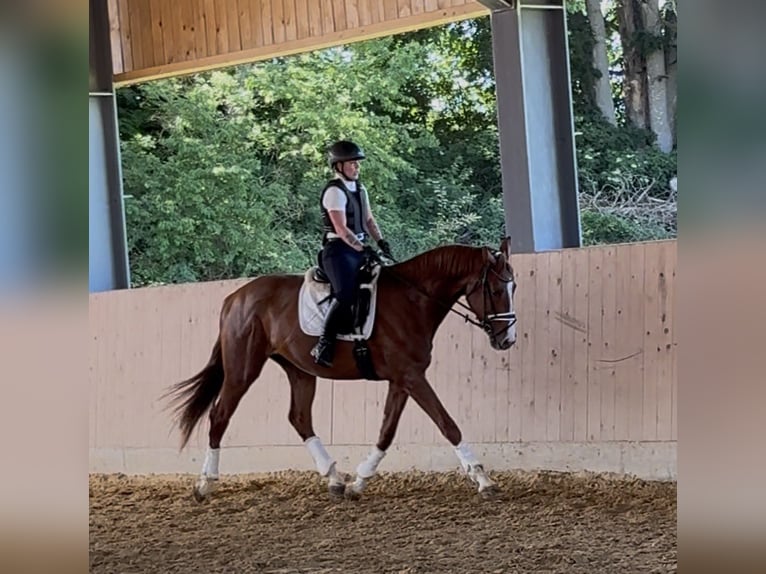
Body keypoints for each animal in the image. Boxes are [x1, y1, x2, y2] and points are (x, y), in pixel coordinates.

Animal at [165, 238, 517, 501]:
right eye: (496, 290)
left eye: (513, 289)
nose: (507, 340)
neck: (412, 300)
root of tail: (235, 298)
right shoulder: (412, 377)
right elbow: (448, 424)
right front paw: (483, 479)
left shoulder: (402, 379)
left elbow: (386, 431)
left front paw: (358, 483)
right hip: (243, 367)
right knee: (220, 414)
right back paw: (205, 484)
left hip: (299, 370)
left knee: (299, 418)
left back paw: (334, 478)